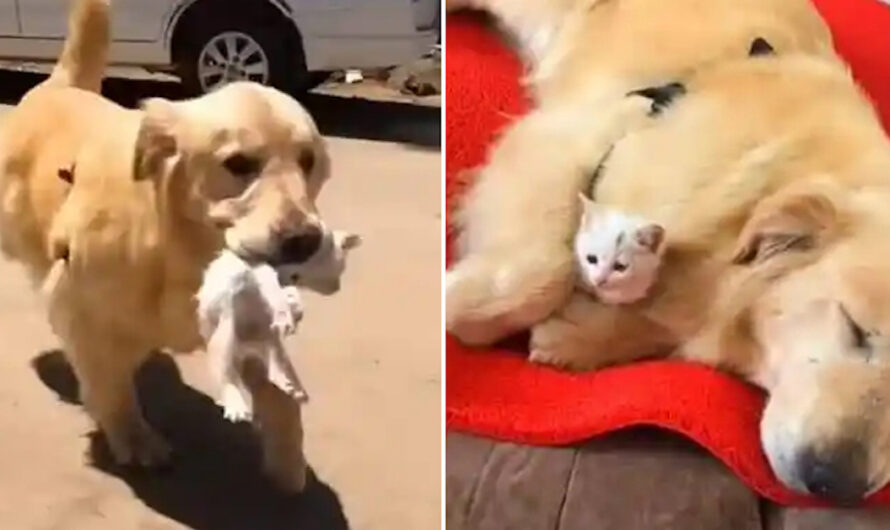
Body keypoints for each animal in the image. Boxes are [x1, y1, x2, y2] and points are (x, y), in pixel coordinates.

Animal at [0, 0, 330, 488]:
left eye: (308, 161)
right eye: (238, 163)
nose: (304, 239)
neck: (180, 249)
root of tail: (60, 86)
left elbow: (281, 395)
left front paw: (288, 459)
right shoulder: (80, 312)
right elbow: (111, 387)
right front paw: (134, 438)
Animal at [196, 227, 360, 420]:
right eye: (341, 268)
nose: (336, 288)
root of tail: (246, 347)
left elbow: (285, 297)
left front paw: (289, 309)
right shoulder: (258, 266)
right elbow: (270, 281)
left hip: (267, 338)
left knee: (273, 356)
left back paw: (284, 381)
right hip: (225, 330)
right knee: (225, 369)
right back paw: (234, 403)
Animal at [448, 0, 890, 502]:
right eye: (855, 328)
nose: (837, 485)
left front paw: (578, 335)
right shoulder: (582, 133)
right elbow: (538, 274)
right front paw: (458, 305)